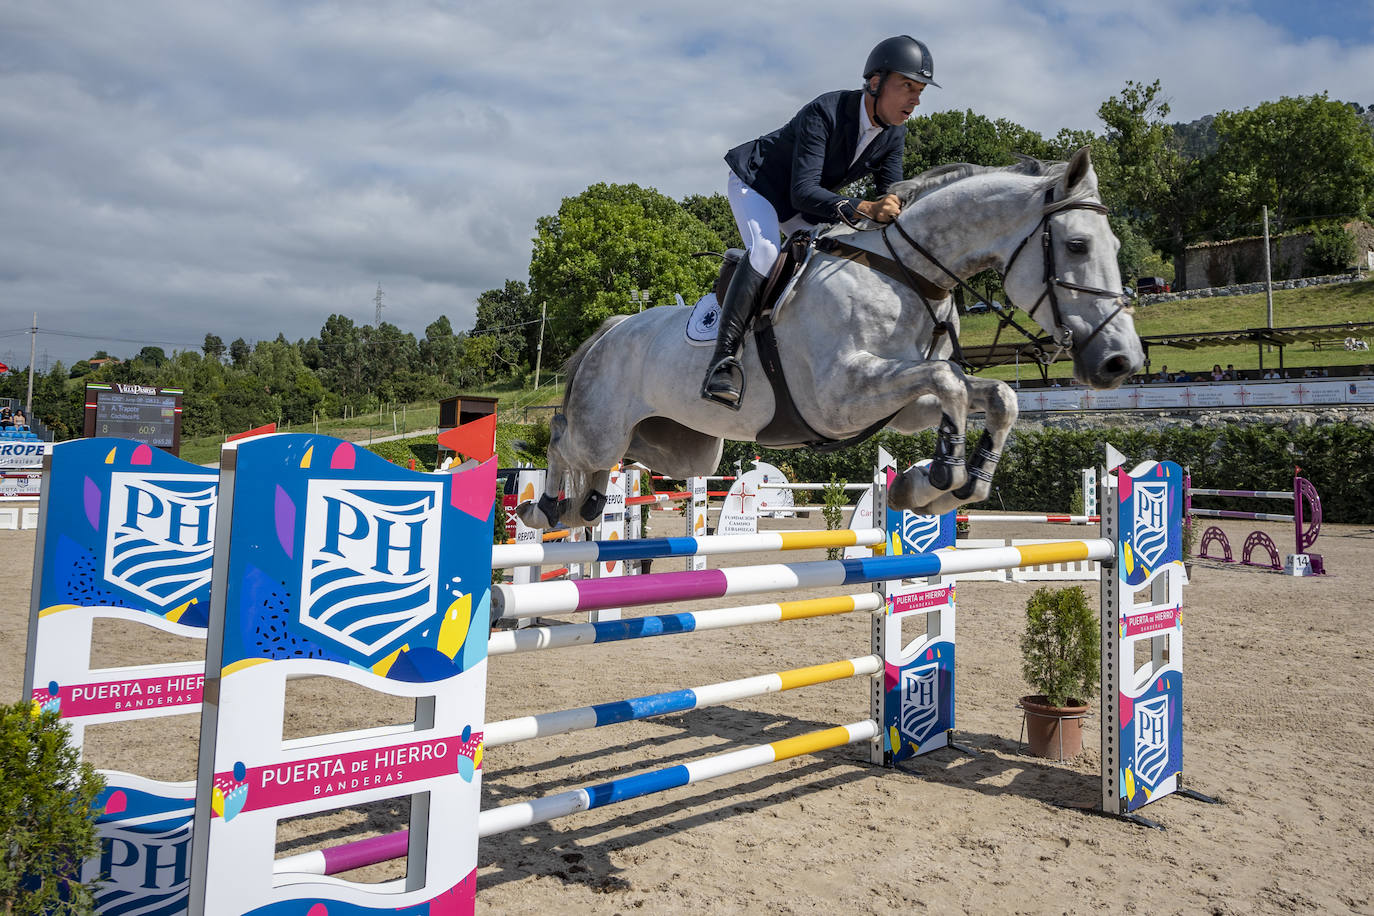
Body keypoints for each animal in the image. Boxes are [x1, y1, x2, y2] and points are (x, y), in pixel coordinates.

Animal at [516, 149, 1137, 530]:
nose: (1119, 362)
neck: (906, 273)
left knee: (605, 468)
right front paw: (942, 475)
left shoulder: (899, 404)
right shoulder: (840, 399)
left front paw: (942, 484)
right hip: (603, 424)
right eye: (1077, 245)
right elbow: (951, 382)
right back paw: (543, 509)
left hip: (682, 446)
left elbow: (990, 395)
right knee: (562, 435)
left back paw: (585, 507)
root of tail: (613, 328)